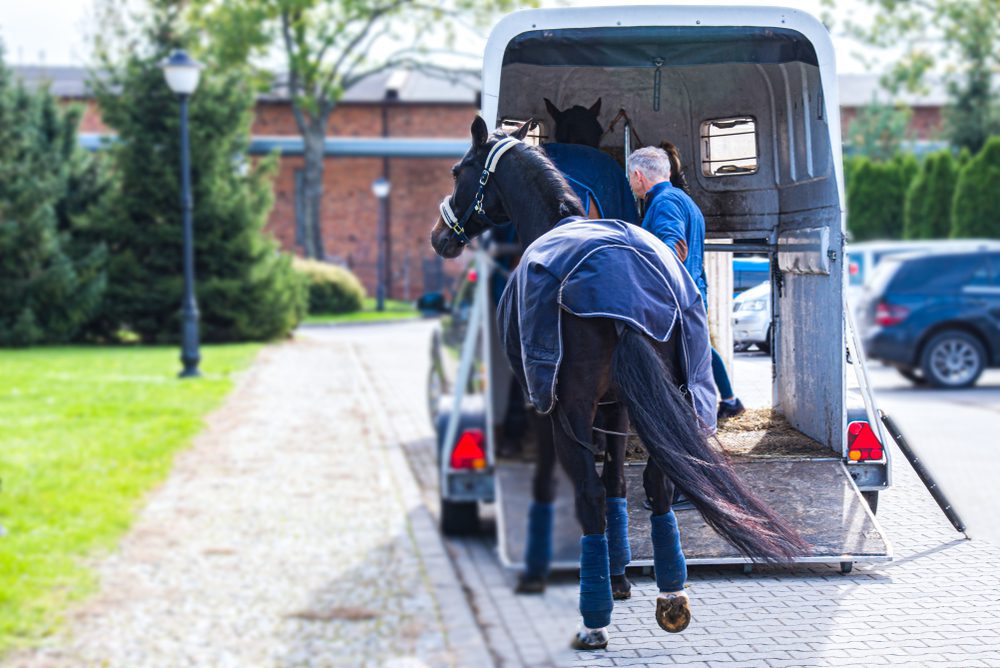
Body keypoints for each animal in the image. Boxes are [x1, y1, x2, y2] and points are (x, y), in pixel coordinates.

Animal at [432, 117, 812, 648]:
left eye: (457, 171)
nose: (439, 237)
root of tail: (624, 287)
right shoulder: (616, 409)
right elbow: (615, 482)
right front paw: (619, 576)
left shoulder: (546, 405)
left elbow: (558, 486)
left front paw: (542, 569)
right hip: (661, 403)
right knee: (658, 483)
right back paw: (671, 596)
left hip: (572, 410)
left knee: (589, 494)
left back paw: (594, 620)